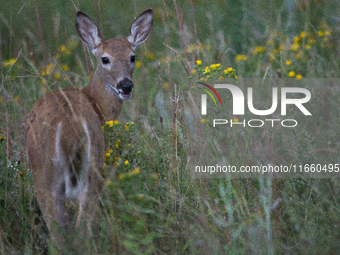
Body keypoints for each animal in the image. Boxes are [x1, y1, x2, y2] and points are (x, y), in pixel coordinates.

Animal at [22, 8, 153, 245]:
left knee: (65, 231)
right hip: (87, 165)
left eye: (132, 57)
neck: (94, 102)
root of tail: (71, 129)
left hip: (51, 173)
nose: (126, 85)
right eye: (105, 59)